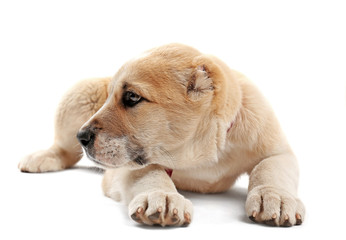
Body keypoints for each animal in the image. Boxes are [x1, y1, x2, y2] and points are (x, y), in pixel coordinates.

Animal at [18, 43, 306, 227]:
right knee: (64, 150)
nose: (82, 137)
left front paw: (275, 197)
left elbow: (269, 169)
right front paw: (163, 198)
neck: (201, 155)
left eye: (132, 97)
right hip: (79, 93)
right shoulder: (127, 165)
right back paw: (42, 158)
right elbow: (150, 173)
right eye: (113, 96)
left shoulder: (278, 151)